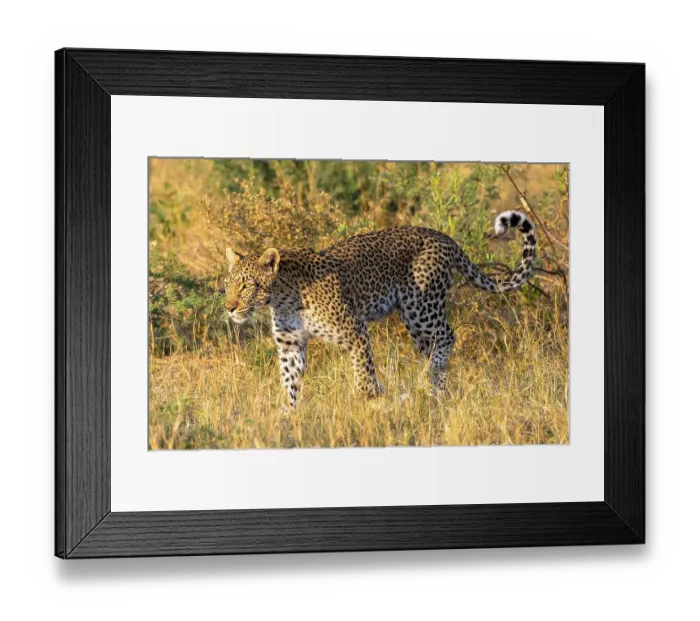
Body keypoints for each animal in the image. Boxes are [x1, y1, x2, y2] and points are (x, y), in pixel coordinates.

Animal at [224, 210, 536, 410]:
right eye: (228, 284)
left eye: (246, 286)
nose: (229, 308)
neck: (282, 297)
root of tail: (443, 237)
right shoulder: (290, 344)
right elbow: (289, 381)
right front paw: (288, 417)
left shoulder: (355, 329)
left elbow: (364, 372)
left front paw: (373, 400)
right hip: (415, 320)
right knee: (434, 346)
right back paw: (434, 389)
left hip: (421, 306)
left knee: (448, 336)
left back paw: (426, 382)